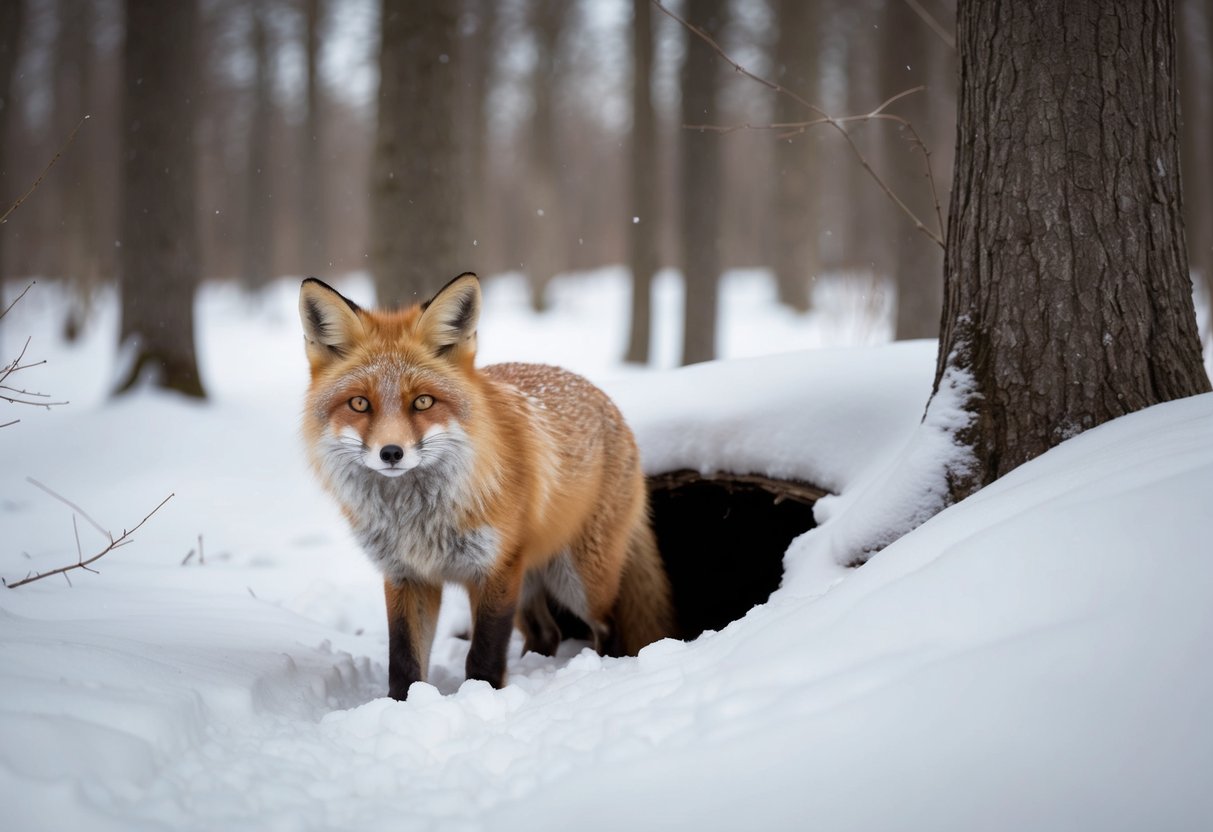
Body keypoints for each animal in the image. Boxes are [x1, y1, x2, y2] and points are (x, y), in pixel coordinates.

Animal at [298, 273, 675, 700]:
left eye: (423, 402)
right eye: (360, 404)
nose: (391, 452)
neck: (417, 519)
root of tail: (609, 402)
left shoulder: (494, 569)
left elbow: (485, 653)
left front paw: (481, 695)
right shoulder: (407, 576)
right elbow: (404, 659)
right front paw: (404, 705)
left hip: (578, 580)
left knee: (608, 627)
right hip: (529, 581)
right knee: (547, 633)